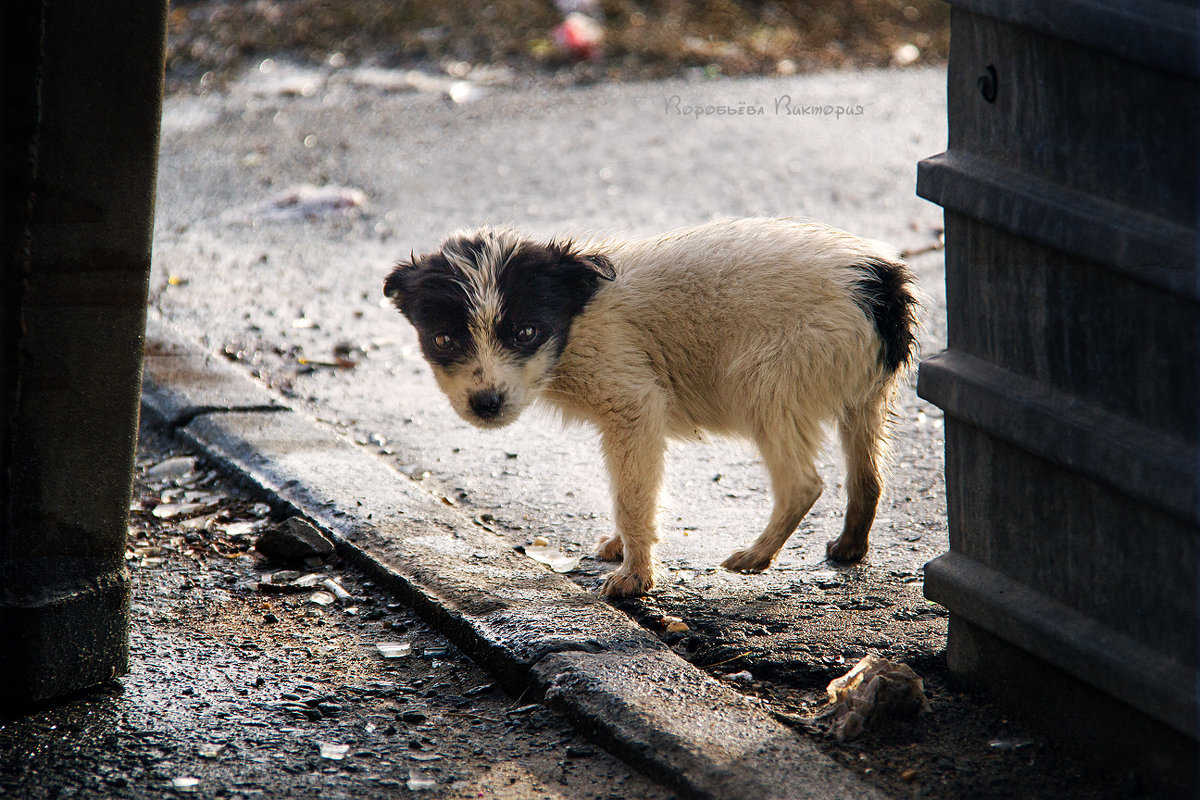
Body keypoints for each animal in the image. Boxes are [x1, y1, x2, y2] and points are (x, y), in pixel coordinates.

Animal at [384, 215, 916, 597]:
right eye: (443, 340)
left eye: (526, 332)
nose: (486, 404)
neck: (577, 313)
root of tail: (879, 284)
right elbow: (637, 488)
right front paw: (623, 550)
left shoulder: (632, 404)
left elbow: (632, 494)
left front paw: (635, 576)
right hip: (864, 397)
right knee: (868, 479)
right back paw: (849, 548)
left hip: (766, 385)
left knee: (803, 485)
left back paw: (757, 556)